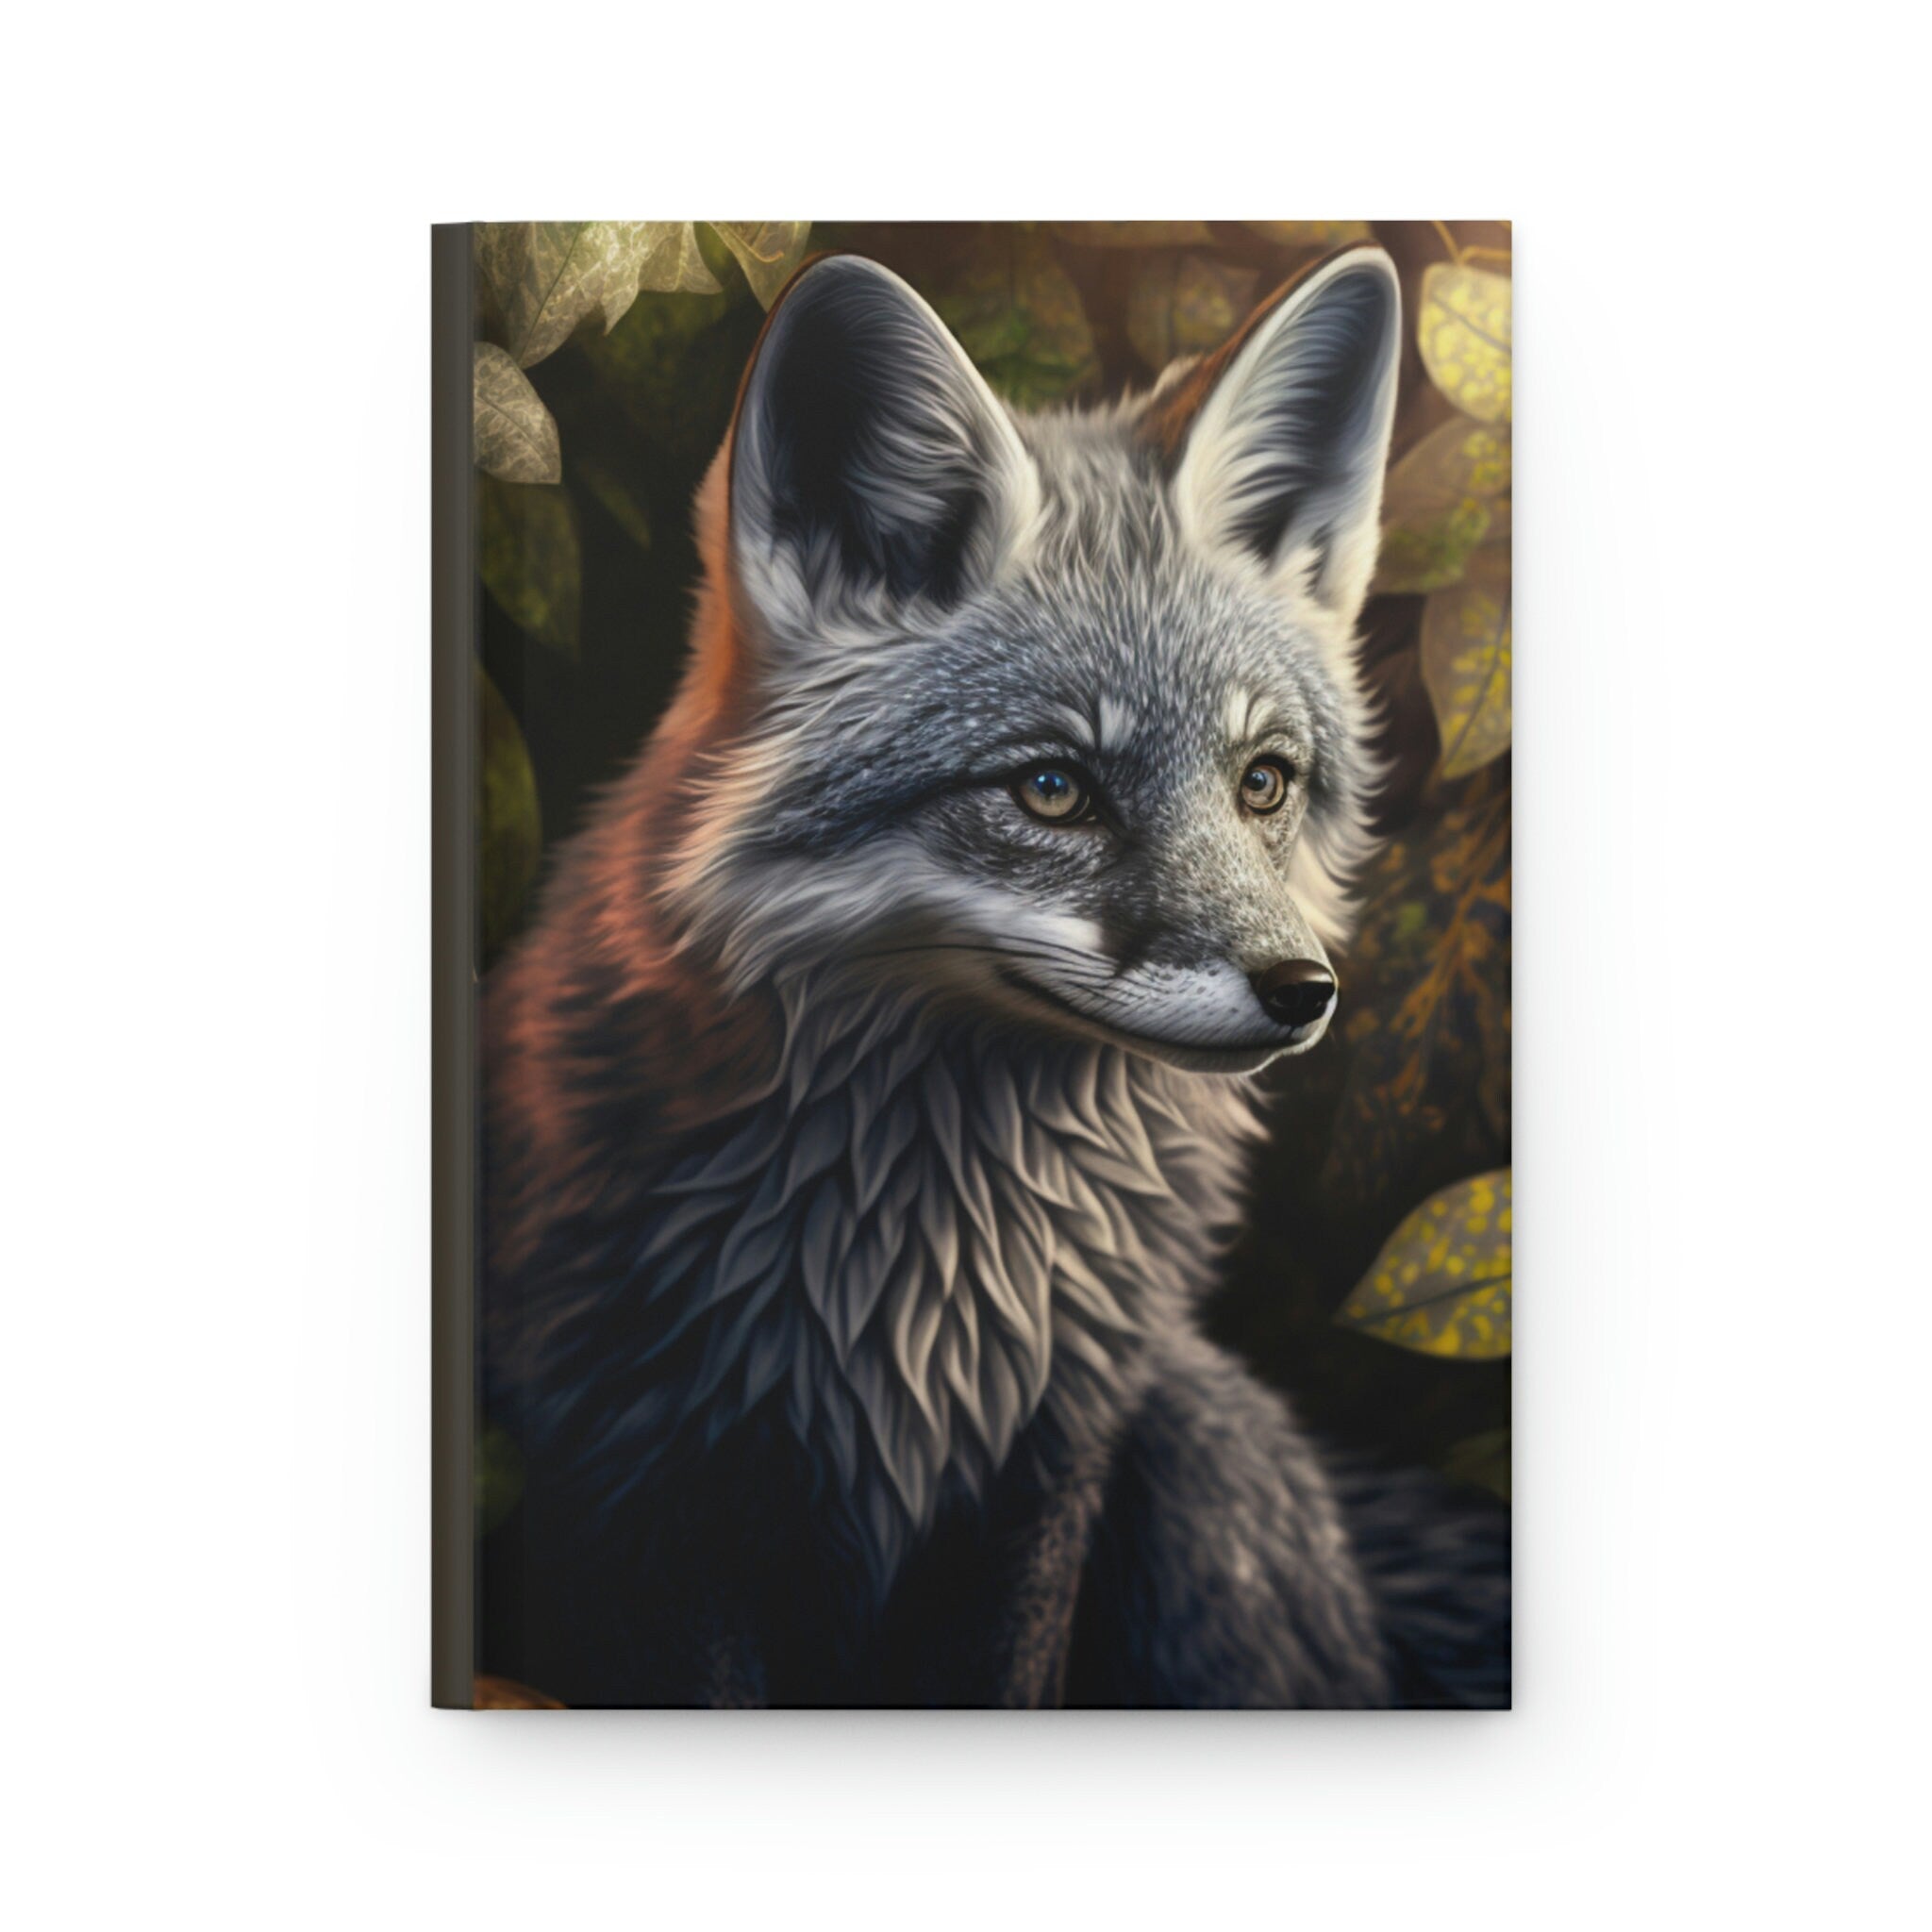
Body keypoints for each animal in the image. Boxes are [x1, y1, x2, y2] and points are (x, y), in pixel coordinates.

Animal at [480, 243, 1509, 1707]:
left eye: (1262, 783)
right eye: (1052, 789)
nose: (1302, 991)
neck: (924, 1289)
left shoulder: (1045, 1463)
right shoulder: (649, 1474)